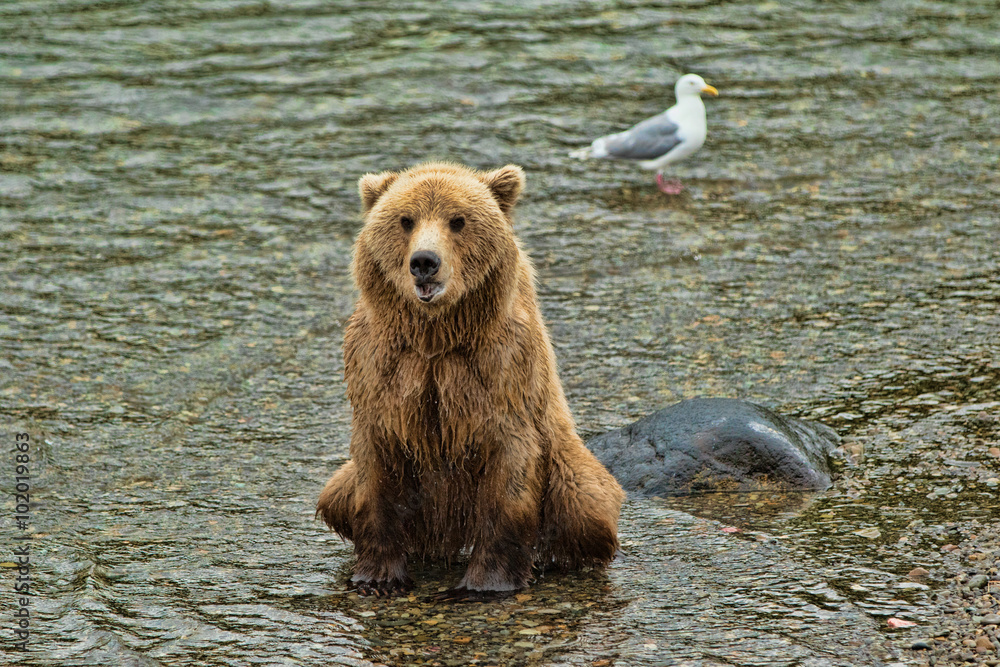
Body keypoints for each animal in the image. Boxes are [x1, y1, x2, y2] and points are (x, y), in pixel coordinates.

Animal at [316, 162, 624, 599]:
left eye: (458, 220)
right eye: (405, 220)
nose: (424, 261)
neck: (436, 335)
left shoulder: (499, 369)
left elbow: (508, 476)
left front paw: (486, 584)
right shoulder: (382, 366)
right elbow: (376, 467)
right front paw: (377, 578)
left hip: (566, 464)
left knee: (586, 505)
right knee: (336, 493)